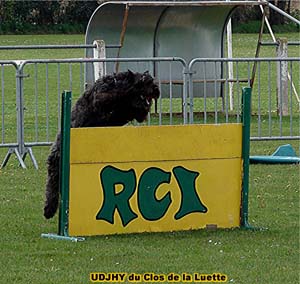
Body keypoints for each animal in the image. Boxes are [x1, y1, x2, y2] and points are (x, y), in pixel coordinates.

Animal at [44, 70, 159, 219]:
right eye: (145, 81)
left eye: (152, 80)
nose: (156, 89)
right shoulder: (101, 98)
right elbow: (115, 96)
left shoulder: (125, 113)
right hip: (56, 162)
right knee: (51, 185)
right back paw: (49, 209)